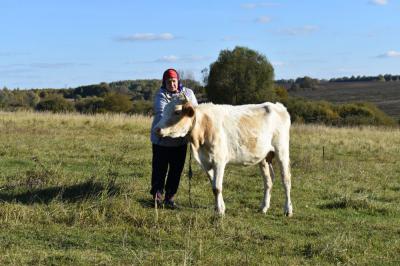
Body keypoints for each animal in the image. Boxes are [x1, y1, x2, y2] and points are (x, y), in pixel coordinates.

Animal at [155, 94, 292, 216]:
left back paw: (287, 210)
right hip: (264, 157)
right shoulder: (206, 162)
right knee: (268, 180)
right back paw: (264, 208)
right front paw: (219, 208)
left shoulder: (219, 161)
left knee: (286, 179)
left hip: (282, 150)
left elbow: (217, 187)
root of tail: (277, 105)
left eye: (177, 112)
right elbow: (214, 186)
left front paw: (220, 211)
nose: (157, 129)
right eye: (165, 109)